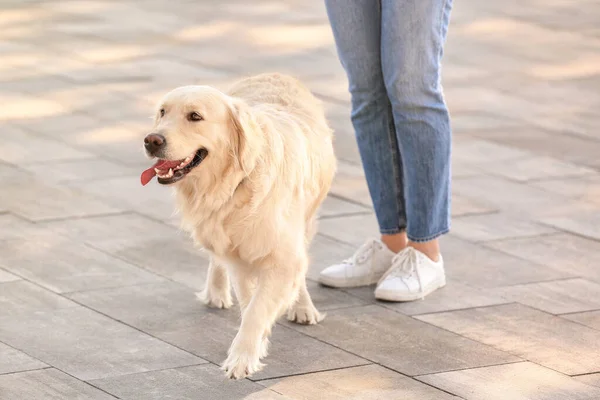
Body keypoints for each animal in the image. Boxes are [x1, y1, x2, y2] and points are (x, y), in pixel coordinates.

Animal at [141, 72, 338, 378]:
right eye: (162, 112)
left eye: (195, 116)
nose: (152, 140)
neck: (235, 183)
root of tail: (276, 73)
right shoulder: (239, 258)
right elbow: (250, 303)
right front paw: (251, 349)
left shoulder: (282, 256)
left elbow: (259, 307)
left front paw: (242, 358)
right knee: (217, 258)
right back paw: (216, 290)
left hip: (307, 220)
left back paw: (303, 306)